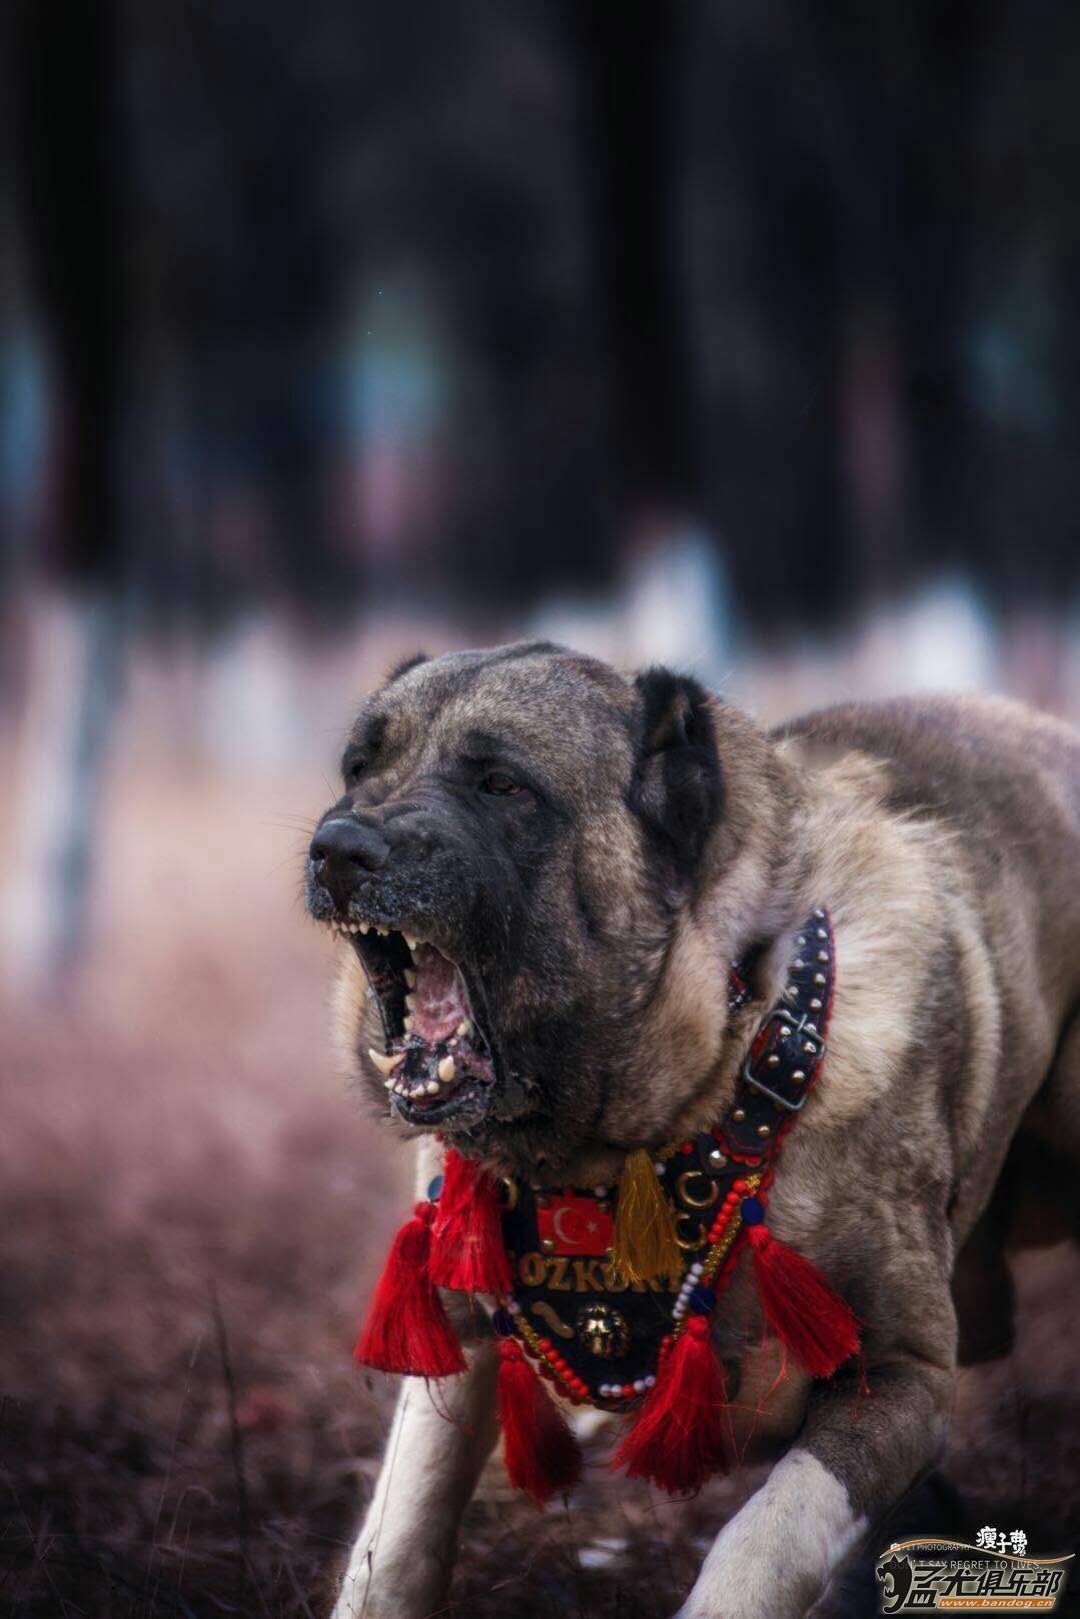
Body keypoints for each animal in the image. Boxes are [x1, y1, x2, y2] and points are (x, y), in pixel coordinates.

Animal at [304, 644, 1080, 1619]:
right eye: (359, 768)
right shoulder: (463, 1349)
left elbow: (767, 1537)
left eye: (502, 784)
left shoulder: (901, 1380)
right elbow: (398, 1533)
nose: (337, 845)